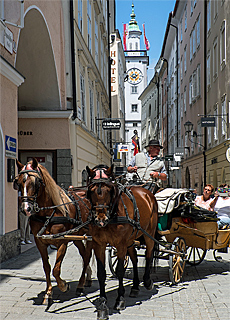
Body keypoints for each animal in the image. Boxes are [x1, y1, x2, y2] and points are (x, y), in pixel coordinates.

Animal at [13, 159, 92, 306]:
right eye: (18, 182)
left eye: (35, 182)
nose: (26, 209)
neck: (49, 213)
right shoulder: (40, 242)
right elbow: (47, 267)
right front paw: (48, 293)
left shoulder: (62, 242)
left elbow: (56, 269)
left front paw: (63, 285)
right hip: (77, 237)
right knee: (85, 256)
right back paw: (86, 280)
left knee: (87, 256)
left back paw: (80, 285)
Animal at [86, 165, 158, 318]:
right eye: (91, 190)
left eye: (109, 190)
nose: (101, 219)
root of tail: (147, 193)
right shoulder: (98, 244)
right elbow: (101, 273)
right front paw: (102, 303)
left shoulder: (120, 245)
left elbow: (120, 270)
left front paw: (119, 300)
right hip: (130, 240)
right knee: (135, 258)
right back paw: (135, 287)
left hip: (148, 234)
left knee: (149, 254)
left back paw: (147, 281)